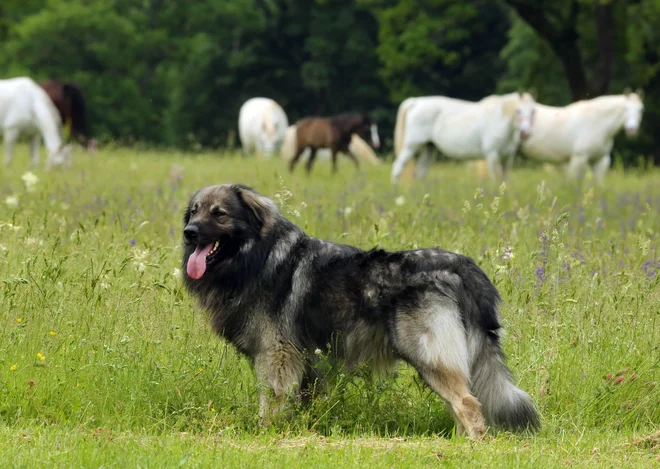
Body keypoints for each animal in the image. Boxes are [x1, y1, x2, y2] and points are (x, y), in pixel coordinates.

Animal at [180, 183, 536, 438]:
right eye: (194, 211)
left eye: (219, 214)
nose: (189, 232)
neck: (259, 256)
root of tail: (460, 266)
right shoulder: (305, 361)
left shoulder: (277, 355)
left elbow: (272, 402)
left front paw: (266, 434)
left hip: (430, 355)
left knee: (468, 404)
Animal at [392, 91, 536, 183]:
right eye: (518, 111)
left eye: (533, 111)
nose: (526, 133)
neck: (501, 120)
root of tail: (416, 101)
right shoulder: (491, 154)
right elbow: (496, 177)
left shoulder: (508, 157)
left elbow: (504, 179)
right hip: (411, 146)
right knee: (397, 169)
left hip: (429, 148)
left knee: (419, 173)